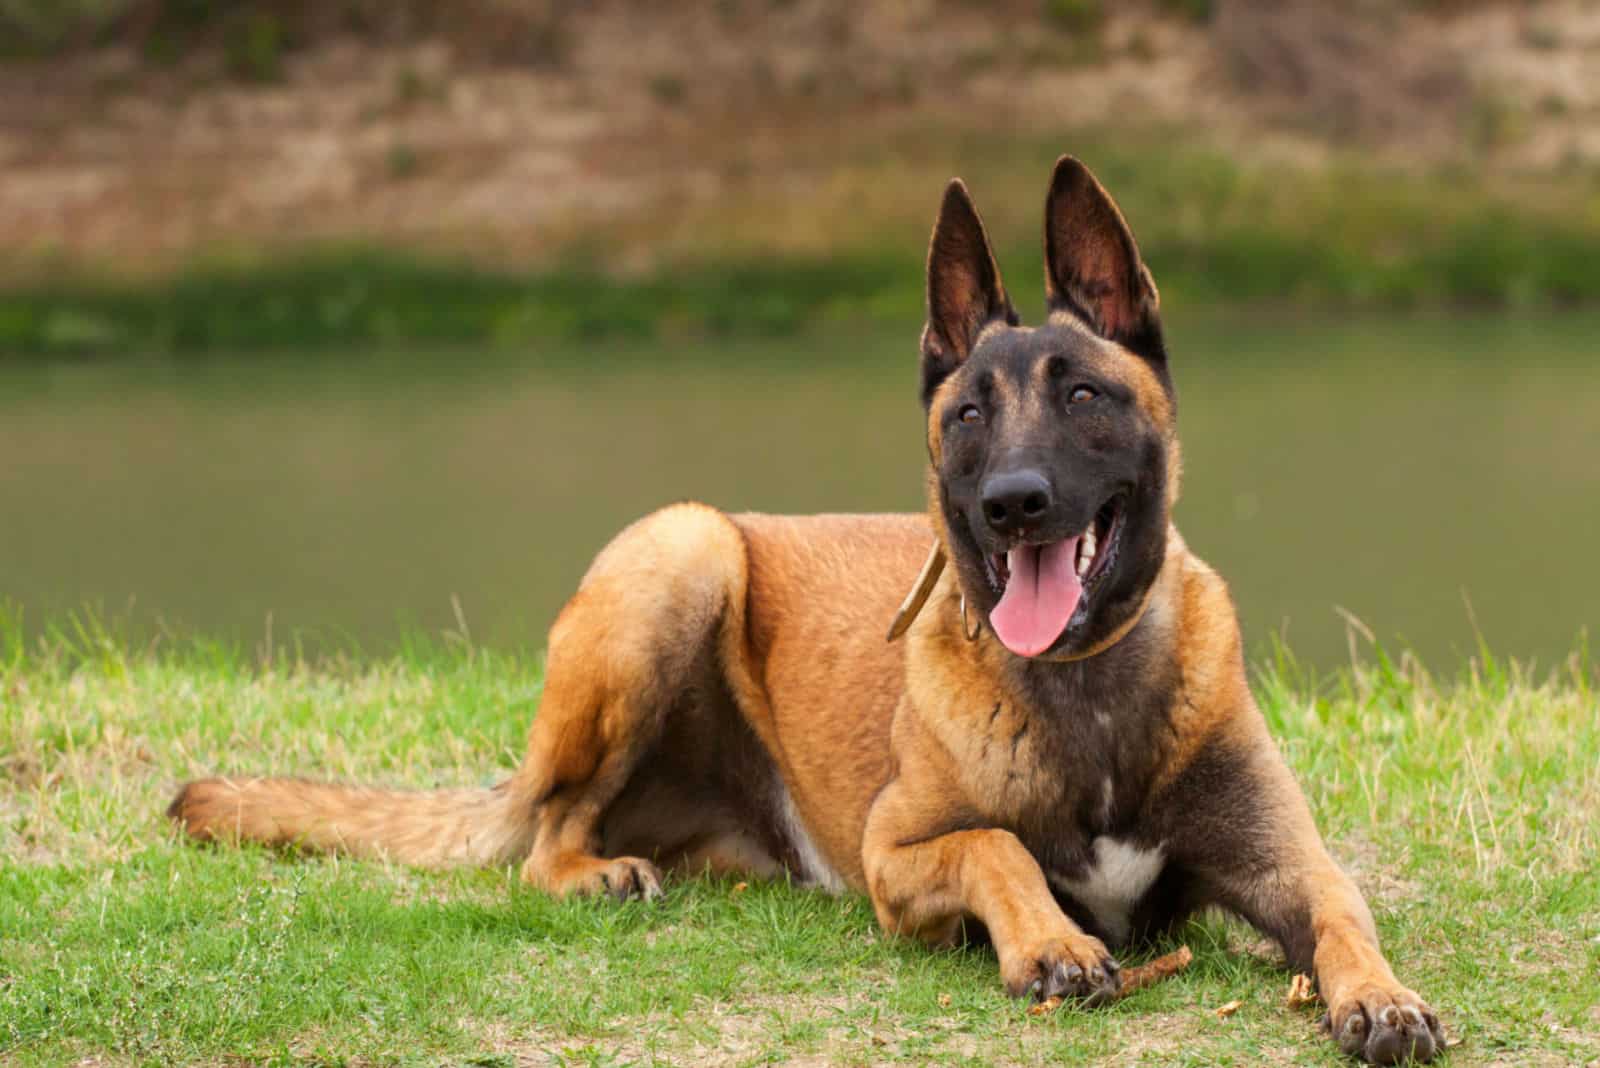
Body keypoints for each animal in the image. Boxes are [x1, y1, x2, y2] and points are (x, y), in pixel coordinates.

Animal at [168, 156, 1446, 1061]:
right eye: (968, 414)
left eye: (1083, 395)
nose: (1012, 504)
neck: (1085, 696)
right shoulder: (897, 858)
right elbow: (995, 846)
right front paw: (1049, 942)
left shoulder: (1288, 863)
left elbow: (1345, 911)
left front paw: (1382, 998)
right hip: (680, 549)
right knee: (545, 832)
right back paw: (590, 871)